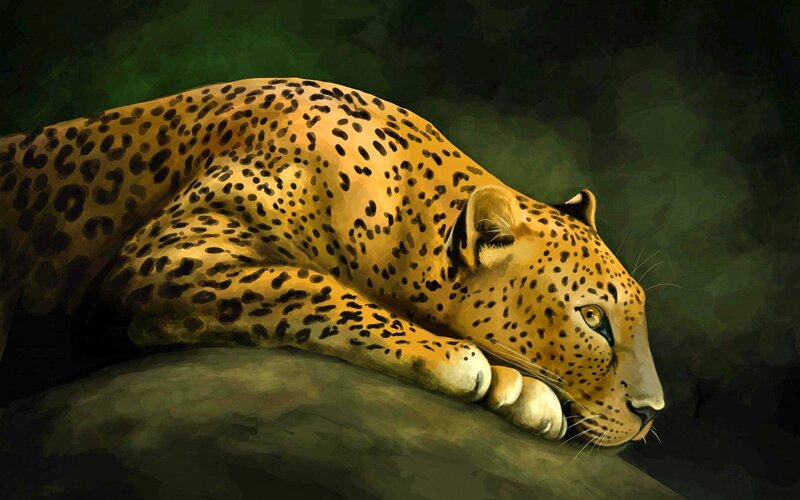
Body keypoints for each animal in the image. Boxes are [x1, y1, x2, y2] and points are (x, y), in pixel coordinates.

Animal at [0, 78, 664, 447]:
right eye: (593, 319)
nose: (652, 413)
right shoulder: (169, 255)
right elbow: (311, 286)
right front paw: (459, 359)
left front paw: (516, 386)